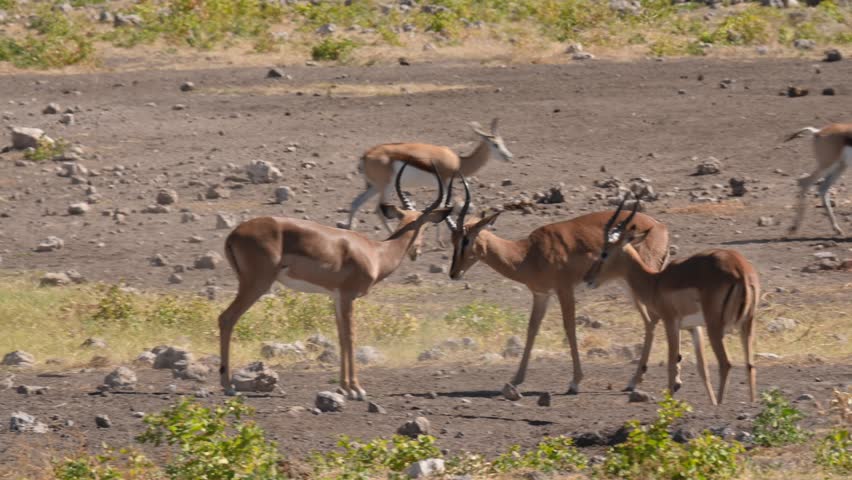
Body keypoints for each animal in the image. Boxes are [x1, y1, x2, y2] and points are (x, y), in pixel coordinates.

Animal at [217, 164, 451, 400]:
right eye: (424, 226)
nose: (416, 252)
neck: (376, 253)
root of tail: (234, 234)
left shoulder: (336, 297)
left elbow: (340, 337)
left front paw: (343, 388)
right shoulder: (348, 296)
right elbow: (350, 336)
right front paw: (357, 389)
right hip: (257, 284)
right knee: (226, 318)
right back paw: (228, 386)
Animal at [344, 118, 513, 245]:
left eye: (503, 141)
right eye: (495, 144)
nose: (508, 156)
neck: (458, 161)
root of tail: (365, 156)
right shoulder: (445, 182)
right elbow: (444, 205)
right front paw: (440, 241)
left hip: (374, 187)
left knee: (355, 203)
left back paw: (350, 231)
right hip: (386, 187)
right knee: (378, 209)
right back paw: (393, 234)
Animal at [446, 175, 670, 394]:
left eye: (466, 240)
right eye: (452, 239)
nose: (453, 273)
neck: (528, 253)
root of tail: (661, 227)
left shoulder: (564, 290)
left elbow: (569, 327)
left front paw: (575, 382)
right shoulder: (541, 294)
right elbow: (532, 329)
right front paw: (515, 380)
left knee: (652, 319)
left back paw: (635, 380)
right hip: (628, 286)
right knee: (649, 321)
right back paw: (635, 380)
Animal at [583, 196, 760, 405]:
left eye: (604, 252)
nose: (588, 278)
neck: (655, 281)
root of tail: (741, 272)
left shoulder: (670, 322)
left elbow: (671, 363)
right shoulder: (694, 327)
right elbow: (702, 369)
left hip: (715, 326)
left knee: (726, 364)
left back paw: (720, 405)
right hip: (747, 324)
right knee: (750, 365)